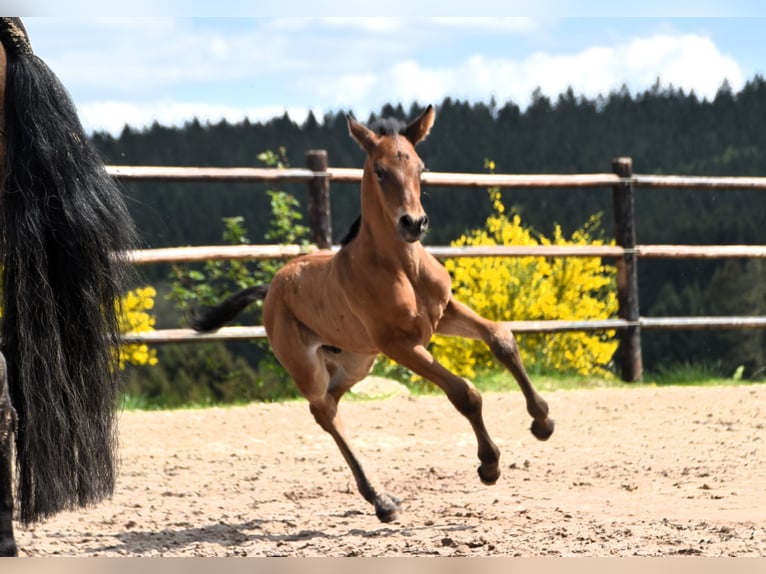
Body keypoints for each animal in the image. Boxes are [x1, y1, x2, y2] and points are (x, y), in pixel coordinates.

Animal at [190, 106, 556, 524]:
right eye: (380, 170)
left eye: (420, 166)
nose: (413, 223)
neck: (403, 268)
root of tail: (272, 287)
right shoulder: (399, 343)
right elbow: (464, 392)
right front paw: (489, 465)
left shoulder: (443, 313)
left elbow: (501, 337)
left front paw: (543, 421)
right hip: (308, 365)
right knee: (322, 411)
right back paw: (381, 500)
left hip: (357, 361)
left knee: (332, 403)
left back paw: (382, 497)